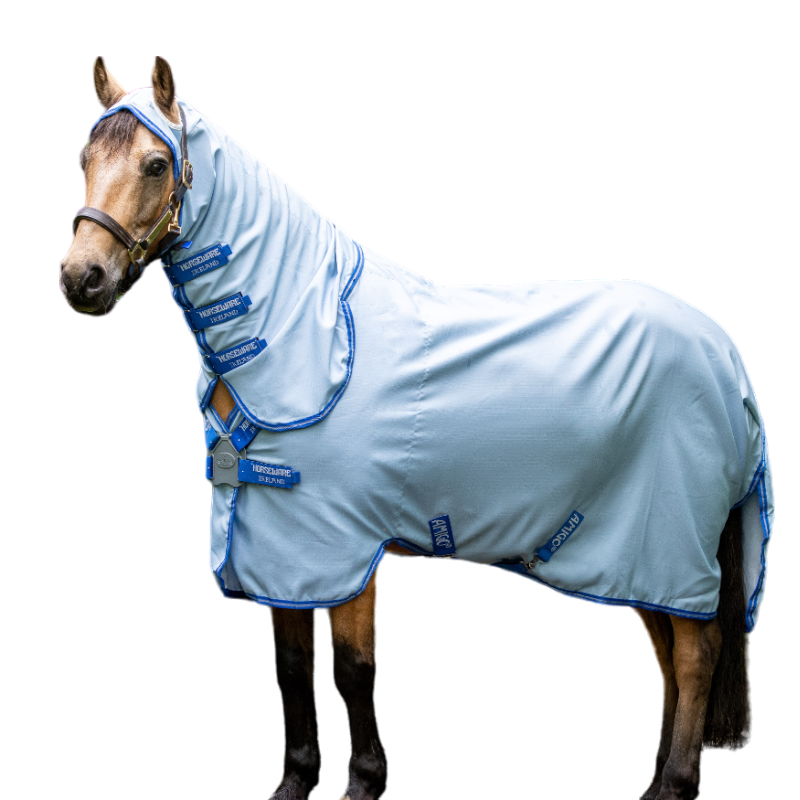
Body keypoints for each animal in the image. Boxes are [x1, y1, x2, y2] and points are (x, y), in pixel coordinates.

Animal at [60, 56, 771, 800]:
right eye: (84, 159)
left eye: (154, 165)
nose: (81, 278)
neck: (309, 334)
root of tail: (725, 354)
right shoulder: (279, 548)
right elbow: (290, 664)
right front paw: (294, 784)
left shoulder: (344, 544)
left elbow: (351, 666)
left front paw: (363, 784)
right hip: (634, 556)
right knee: (668, 653)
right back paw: (657, 781)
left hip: (669, 543)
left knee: (695, 654)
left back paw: (676, 783)